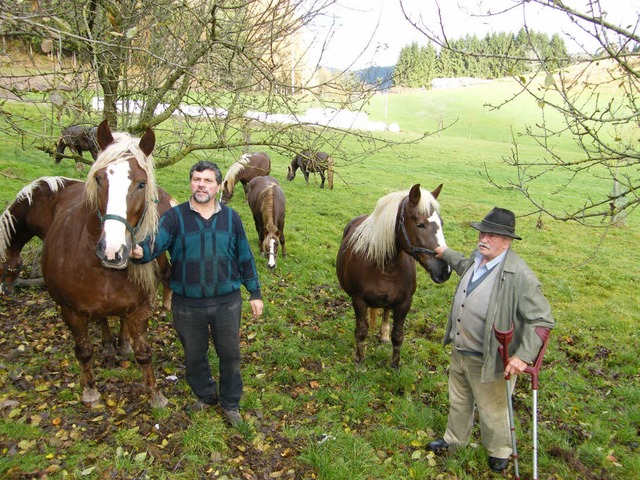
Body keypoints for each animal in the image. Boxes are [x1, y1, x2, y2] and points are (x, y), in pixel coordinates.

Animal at [37, 119, 169, 404]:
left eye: (141, 184)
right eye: (99, 178)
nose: (113, 251)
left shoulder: (140, 309)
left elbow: (144, 353)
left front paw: (155, 395)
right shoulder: (70, 311)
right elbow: (83, 350)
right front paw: (89, 389)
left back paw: (122, 343)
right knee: (102, 321)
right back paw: (109, 344)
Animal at [336, 184, 450, 368]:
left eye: (442, 223)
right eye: (420, 225)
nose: (444, 269)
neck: (386, 266)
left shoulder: (404, 303)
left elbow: (398, 336)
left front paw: (395, 365)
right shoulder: (358, 301)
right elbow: (361, 332)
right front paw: (359, 361)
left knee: (387, 310)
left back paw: (383, 335)